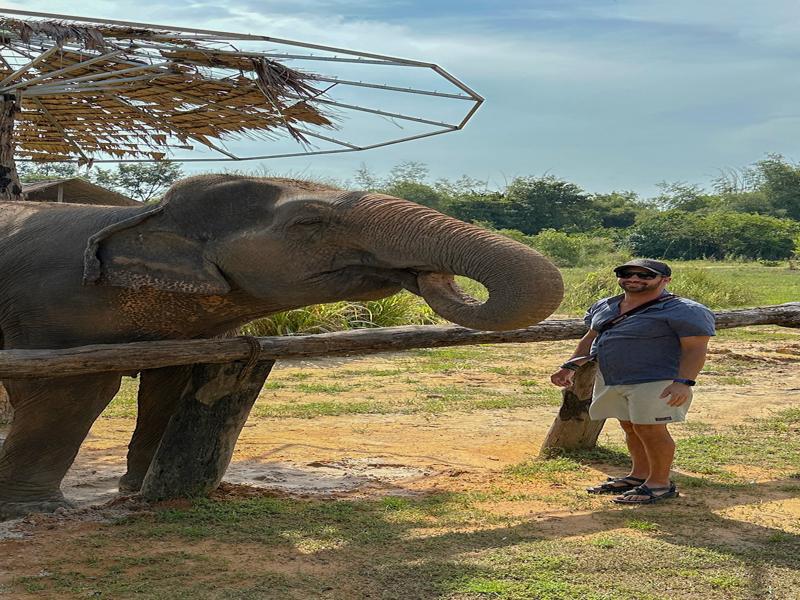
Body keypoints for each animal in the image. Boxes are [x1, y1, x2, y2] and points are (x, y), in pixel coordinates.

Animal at [0, 174, 563, 519]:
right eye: (308, 223)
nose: (421, 273)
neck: (144, 215)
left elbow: (171, 382)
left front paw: (137, 492)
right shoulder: (48, 310)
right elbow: (74, 391)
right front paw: (35, 510)